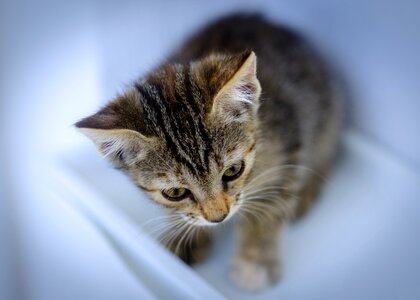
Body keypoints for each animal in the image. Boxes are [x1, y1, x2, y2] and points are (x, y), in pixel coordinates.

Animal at [75, 13, 342, 290]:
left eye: (234, 171)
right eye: (175, 193)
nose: (218, 218)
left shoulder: (289, 144)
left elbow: (270, 205)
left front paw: (254, 261)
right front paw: (184, 238)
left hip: (326, 114)